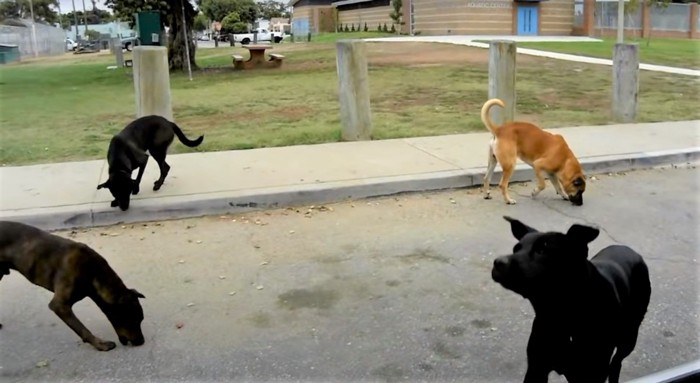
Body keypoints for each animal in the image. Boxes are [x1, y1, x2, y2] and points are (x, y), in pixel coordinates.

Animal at [0, 222, 145, 352]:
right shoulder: (60, 305)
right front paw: (100, 344)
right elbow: (82, 329)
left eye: (141, 319)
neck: (93, 272)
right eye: (134, 320)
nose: (141, 342)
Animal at [492, 218, 652, 383]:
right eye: (515, 249)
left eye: (542, 250)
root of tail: (631, 251)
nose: (498, 262)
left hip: (629, 337)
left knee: (617, 362)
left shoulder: (594, 372)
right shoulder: (537, 368)